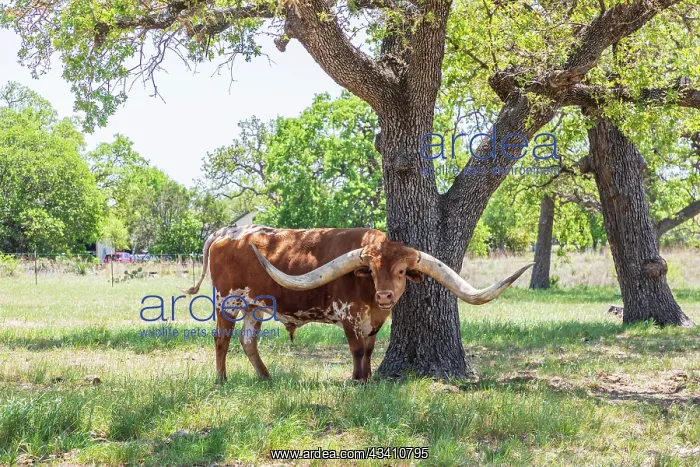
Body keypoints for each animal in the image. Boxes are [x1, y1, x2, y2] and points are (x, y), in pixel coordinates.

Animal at [184, 224, 533, 383]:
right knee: (222, 339)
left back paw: (266, 378)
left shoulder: (375, 322)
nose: (385, 296)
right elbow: (355, 349)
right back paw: (222, 380)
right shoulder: (348, 316)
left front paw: (367, 378)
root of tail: (225, 232)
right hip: (227, 301)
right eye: (373, 271)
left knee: (248, 340)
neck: (369, 297)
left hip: (255, 305)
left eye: (402, 271)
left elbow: (368, 349)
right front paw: (356, 379)